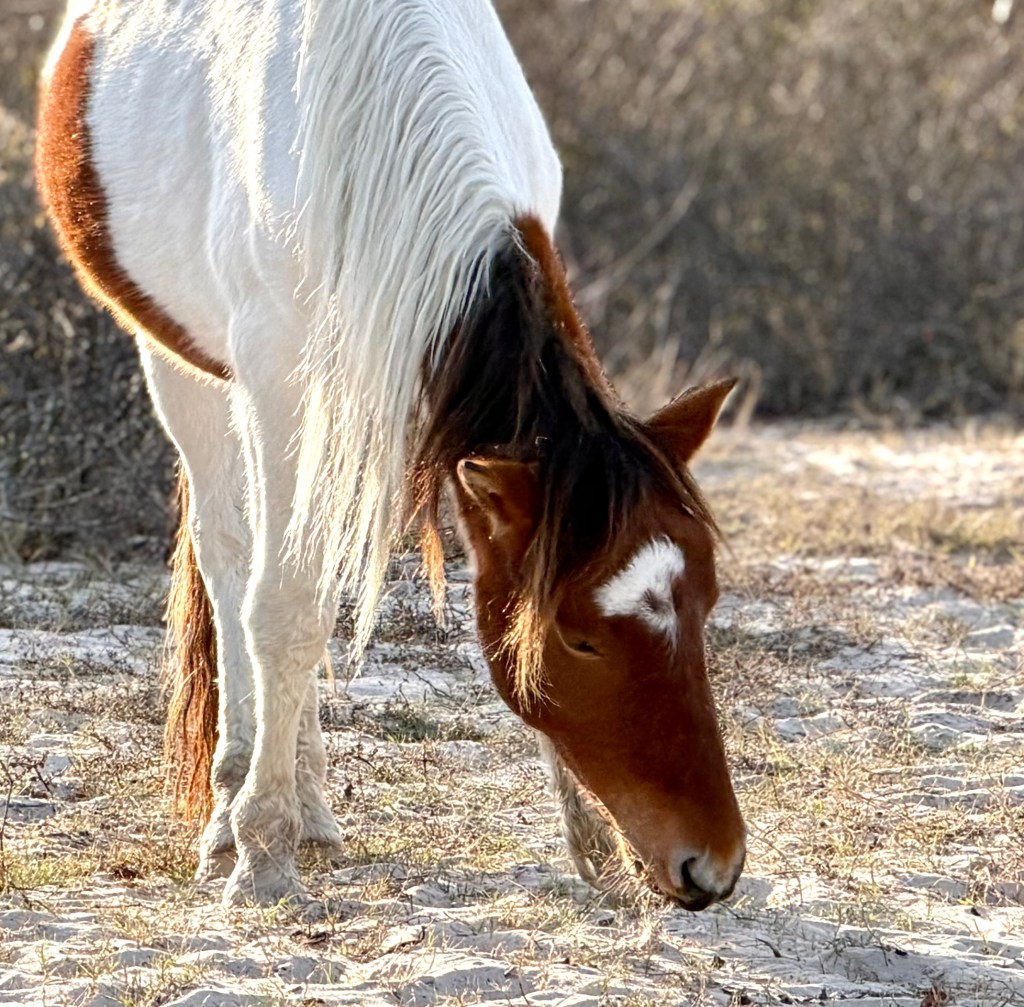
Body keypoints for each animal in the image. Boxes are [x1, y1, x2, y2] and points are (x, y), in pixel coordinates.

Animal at [35, 0, 746, 910]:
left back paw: (309, 808)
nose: (711, 863)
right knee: (234, 567)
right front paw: (260, 854)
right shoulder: (272, 374)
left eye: (705, 604)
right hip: (184, 366)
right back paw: (235, 814)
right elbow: (283, 608)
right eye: (581, 637)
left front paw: (592, 839)